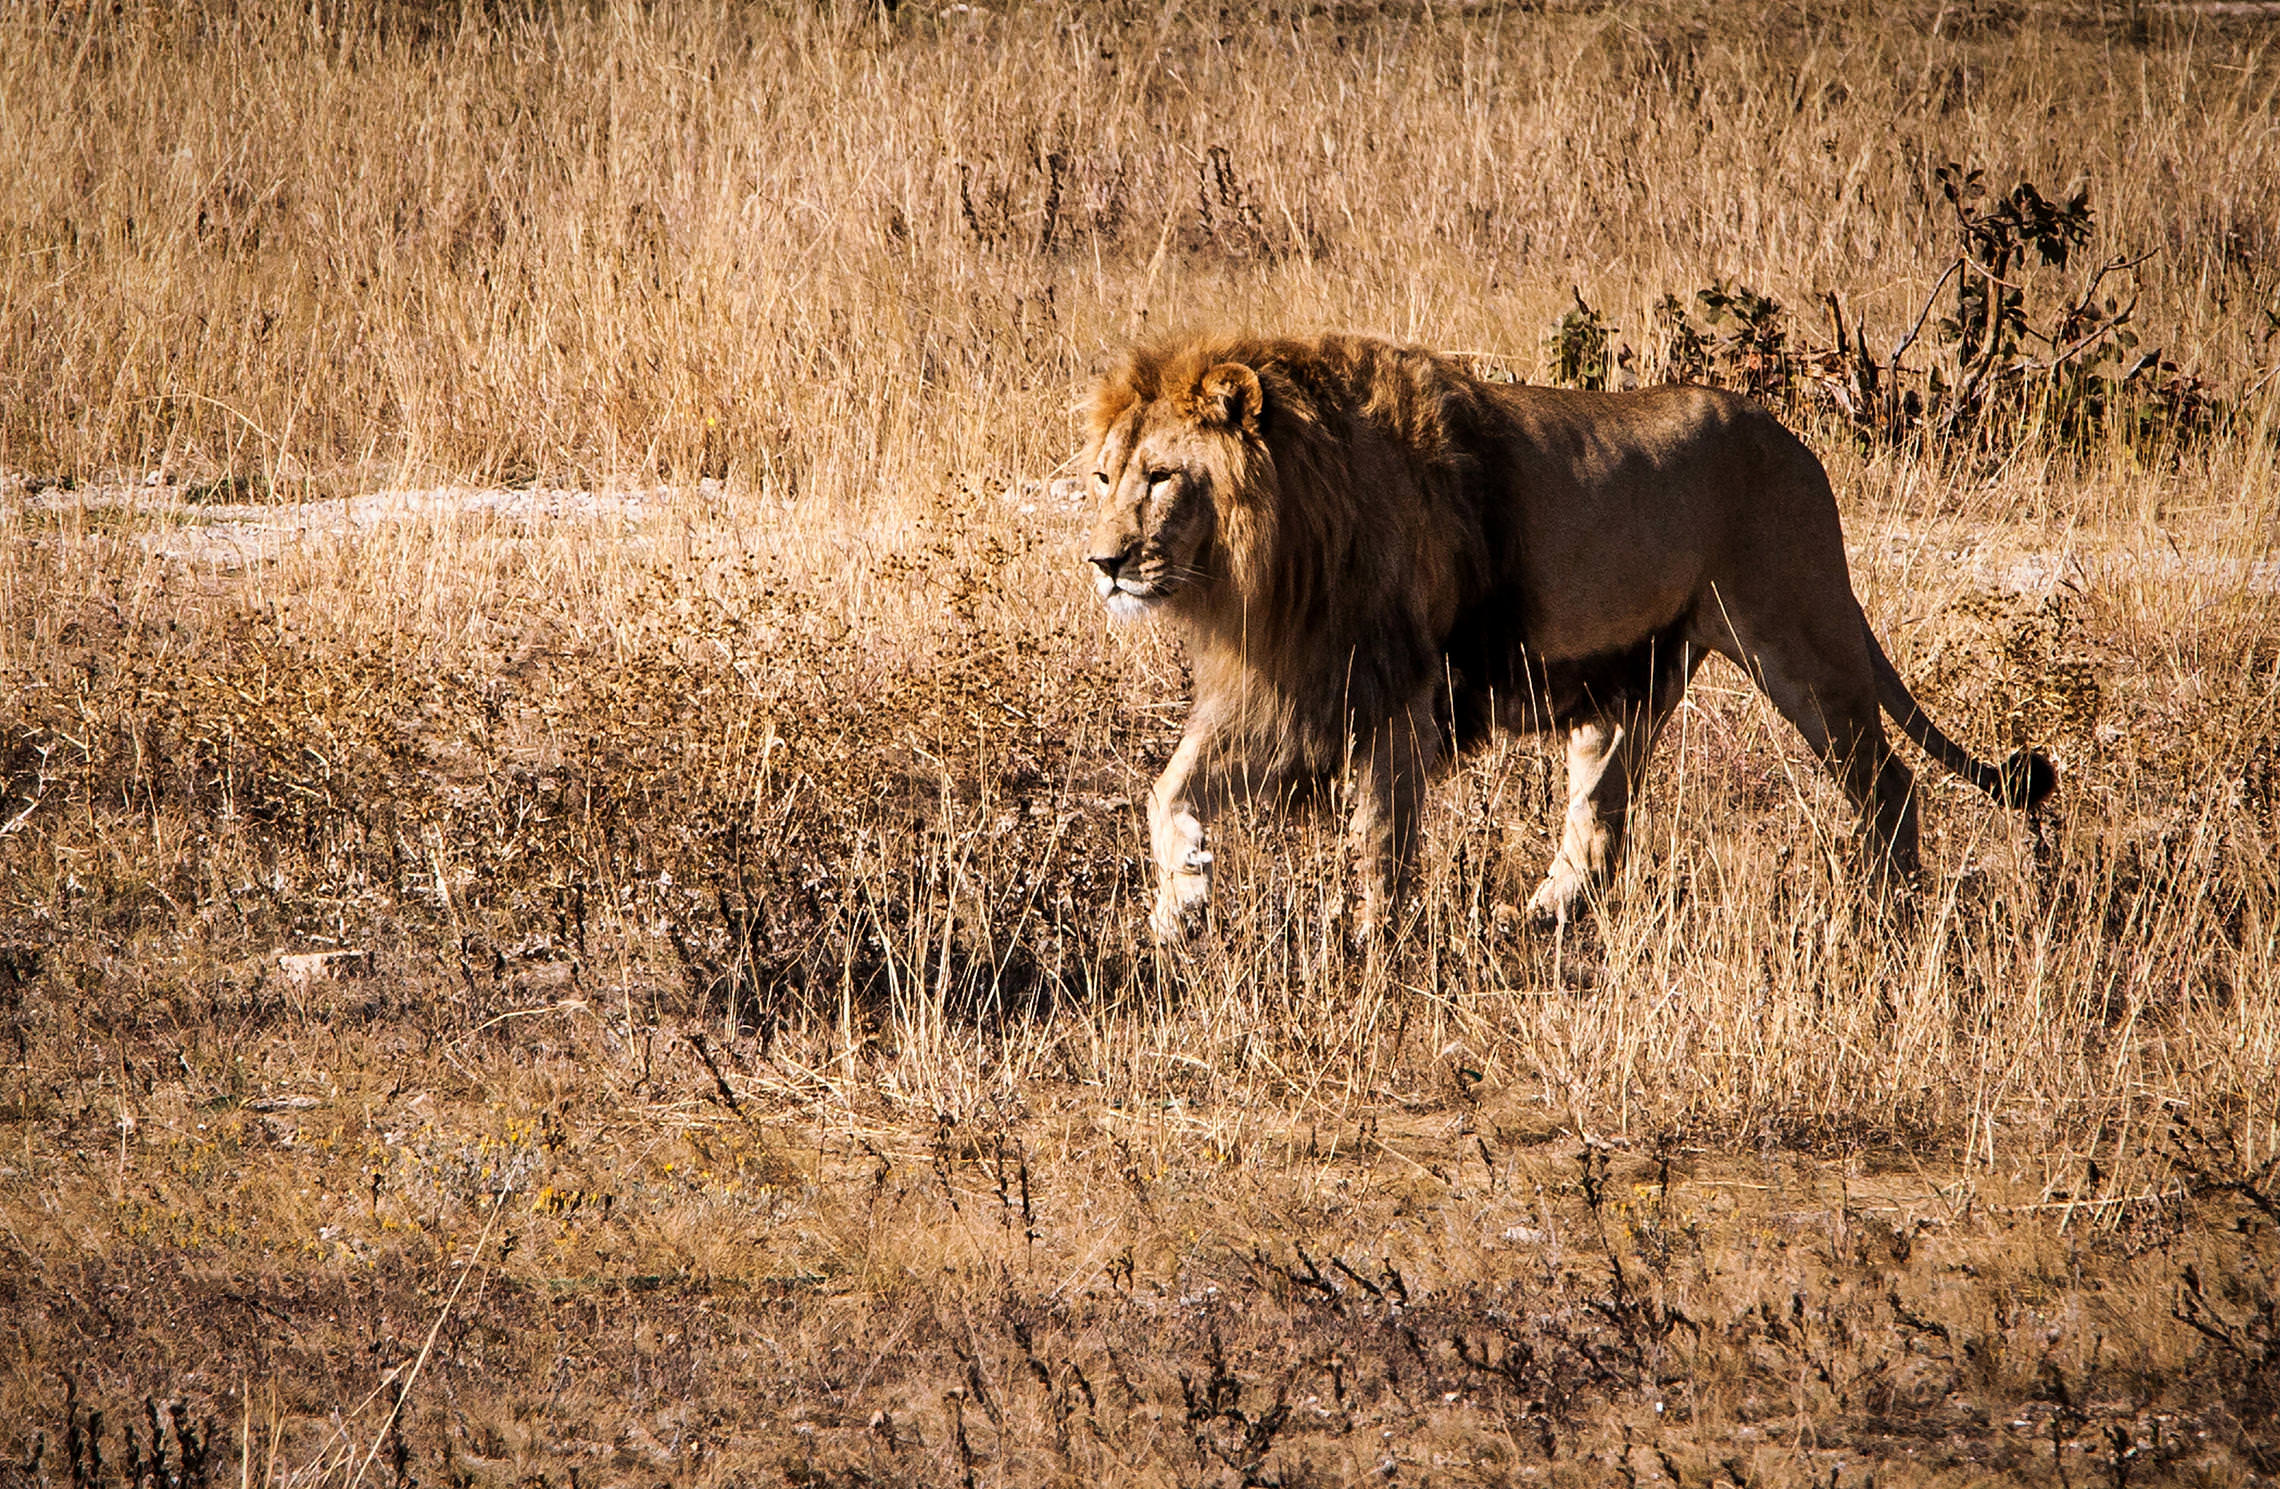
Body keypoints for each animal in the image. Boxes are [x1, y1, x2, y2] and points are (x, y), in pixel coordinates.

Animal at [1076, 332, 2061, 939]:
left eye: (1162, 477)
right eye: (1103, 476)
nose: (1105, 562)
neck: (1270, 553)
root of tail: (1798, 444)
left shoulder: (1394, 690)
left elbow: (1382, 840)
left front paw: (1374, 946)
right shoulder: (1289, 687)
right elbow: (1168, 788)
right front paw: (1180, 905)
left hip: (1801, 640)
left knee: (1890, 783)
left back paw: (1889, 917)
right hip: (1633, 681)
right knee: (1601, 820)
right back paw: (1539, 918)